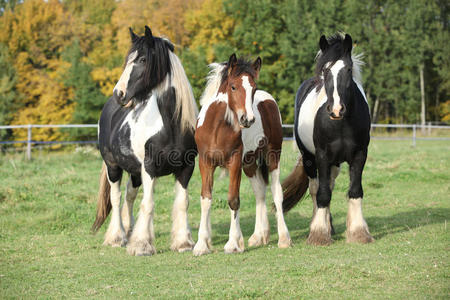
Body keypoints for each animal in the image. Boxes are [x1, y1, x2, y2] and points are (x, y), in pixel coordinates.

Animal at [90, 26, 198, 255]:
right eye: (128, 59)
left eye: (142, 60)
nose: (119, 93)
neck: (170, 126)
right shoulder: (149, 168)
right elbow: (148, 204)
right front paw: (141, 245)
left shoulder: (187, 167)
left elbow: (182, 202)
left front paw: (183, 242)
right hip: (113, 167)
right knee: (116, 198)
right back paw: (117, 237)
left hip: (134, 171)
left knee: (129, 196)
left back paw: (128, 231)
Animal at [192, 54, 292, 255]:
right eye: (233, 86)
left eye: (253, 88)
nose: (248, 119)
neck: (217, 128)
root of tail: (269, 100)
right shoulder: (206, 163)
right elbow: (206, 198)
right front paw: (201, 245)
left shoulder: (235, 163)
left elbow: (233, 200)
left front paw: (233, 243)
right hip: (250, 163)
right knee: (259, 192)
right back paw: (259, 236)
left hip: (273, 155)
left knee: (276, 192)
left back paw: (284, 238)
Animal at [284, 34, 374, 245]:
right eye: (325, 70)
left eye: (348, 69)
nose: (336, 109)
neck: (341, 124)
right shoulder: (322, 156)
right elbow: (322, 193)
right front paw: (319, 234)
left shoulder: (359, 155)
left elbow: (355, 190)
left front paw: (358, 232)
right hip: (309, 158)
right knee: (316, 188)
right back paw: (320, 226)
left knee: (329, 185)